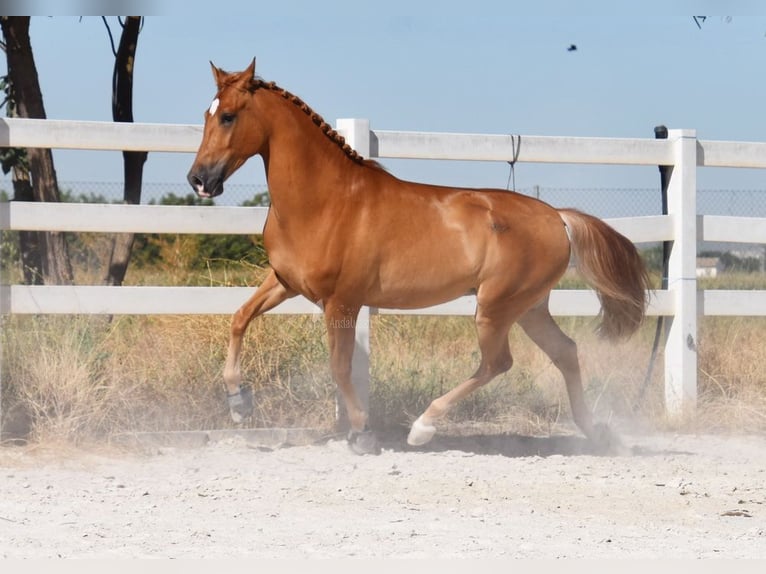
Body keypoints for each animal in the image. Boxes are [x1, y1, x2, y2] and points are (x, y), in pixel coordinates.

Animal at [189, 60, 652, 456]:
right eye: (206, 115)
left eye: (228, 116)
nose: (199, 180)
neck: (326, 201)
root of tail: (558, 217)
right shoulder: (285, 282)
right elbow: (239, 319)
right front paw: (238, 403)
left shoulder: (342, 302)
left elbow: (339, 367)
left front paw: (362, 432)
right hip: (530, 308)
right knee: (566, 353)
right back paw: (597, 434)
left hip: (496, 308)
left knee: (498, 362)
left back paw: (422, 428)